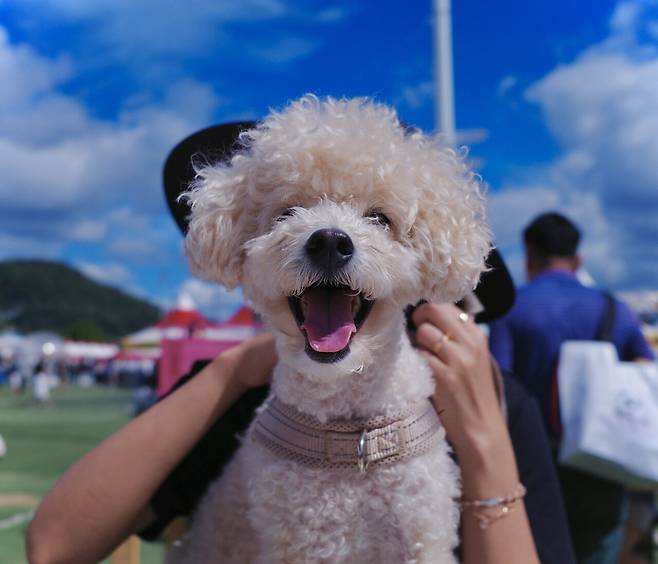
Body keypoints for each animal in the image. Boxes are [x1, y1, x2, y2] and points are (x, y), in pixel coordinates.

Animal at [177, 97, 490, 564]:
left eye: (379, 218)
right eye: (287, 213)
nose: (328, 241)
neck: (350, 441)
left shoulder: (424, 530)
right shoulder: (299, 542)